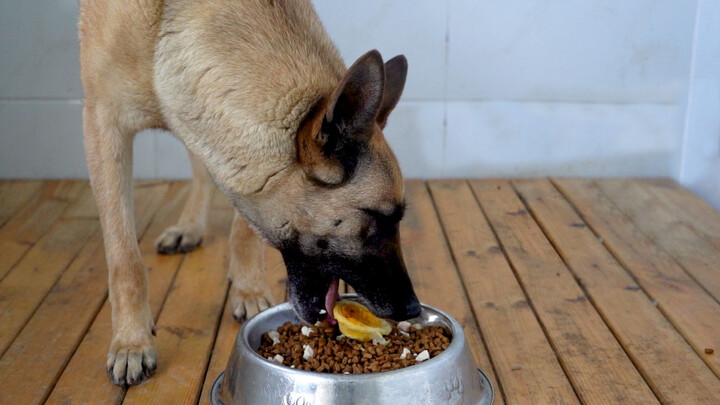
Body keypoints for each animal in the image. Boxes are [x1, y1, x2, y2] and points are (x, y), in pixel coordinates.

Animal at [77, 0, 422, 386]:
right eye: (378, 217)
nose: (413, 308)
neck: (169, 27)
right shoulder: (103, 124)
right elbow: (125, 260)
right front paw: (131, 341)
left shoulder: (240, 157)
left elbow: (243, 225)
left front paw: (249, 289)